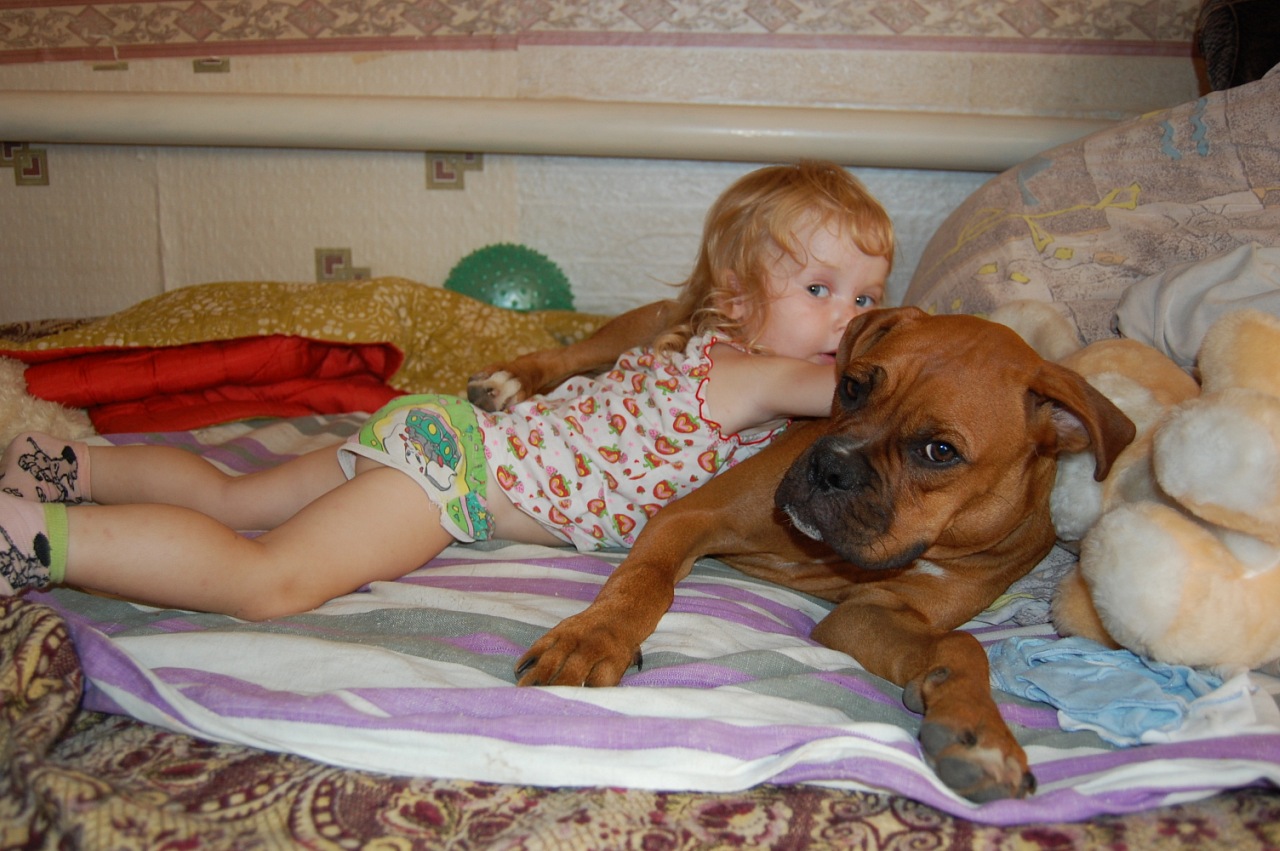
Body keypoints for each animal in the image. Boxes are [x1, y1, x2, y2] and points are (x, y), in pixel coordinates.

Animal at [468, 306, 1135, 803]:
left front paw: (978, 734)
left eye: (939, 451)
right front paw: (593, 638)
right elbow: (646, 583)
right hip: (645, 321)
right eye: (853, 387)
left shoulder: (867, 613)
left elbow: (961, 646)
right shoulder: (689, 519)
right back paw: (505, 382)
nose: (828, 465)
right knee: (585, 352)